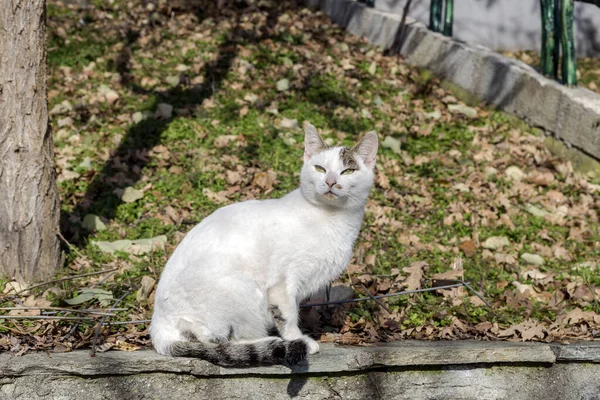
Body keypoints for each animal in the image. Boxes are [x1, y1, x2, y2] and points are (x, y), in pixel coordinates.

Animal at [150, 123, 378, 368]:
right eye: (320, 168)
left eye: (347, 171)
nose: (331, 182)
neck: (331, 217)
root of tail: (158, 329)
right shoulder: (283, 282)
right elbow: (288, 315)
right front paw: (299, 340)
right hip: (240, 291)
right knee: (213, 339)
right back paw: (268, 342)